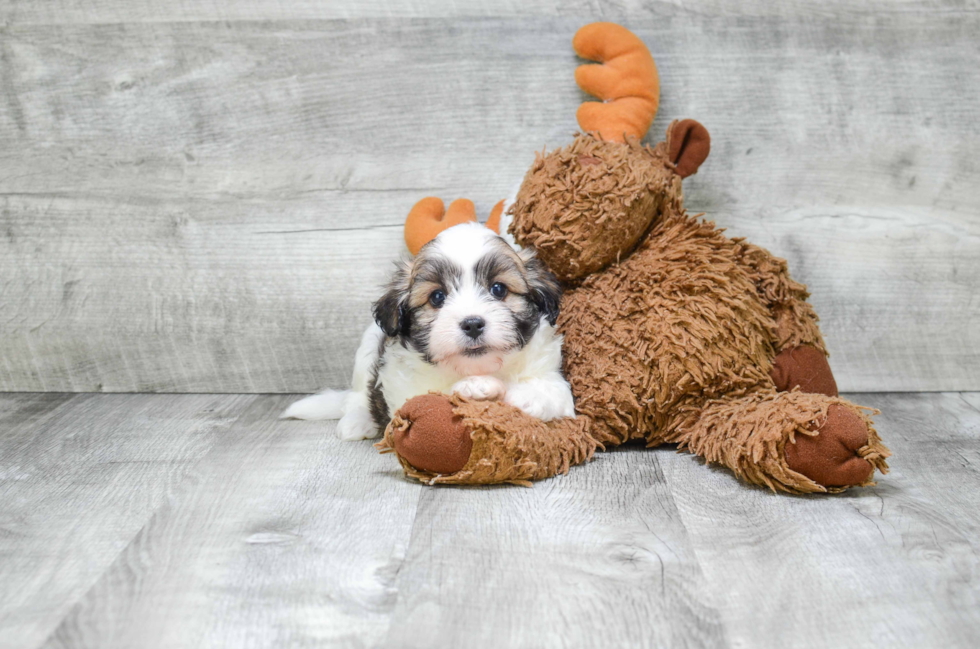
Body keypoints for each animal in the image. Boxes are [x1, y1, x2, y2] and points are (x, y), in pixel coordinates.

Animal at [282, 220, 576, 438]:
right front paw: (476, 387)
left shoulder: (551, 372)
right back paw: (357, 421)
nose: (472, 324)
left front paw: (529, 396)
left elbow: (556, 392)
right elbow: (431, 399)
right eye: (437, 297)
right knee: (357, 394)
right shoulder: (404, 390)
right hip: (368, 346)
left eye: (498, 289)